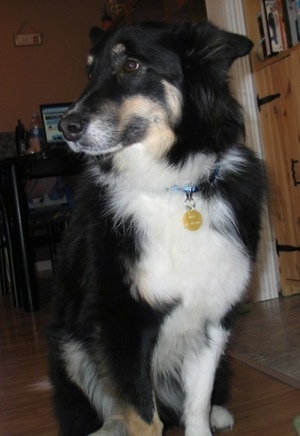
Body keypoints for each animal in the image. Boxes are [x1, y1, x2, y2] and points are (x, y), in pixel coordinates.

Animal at [48, 21, 266, 436]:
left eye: (131, 65)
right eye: (89, 71)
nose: (66, 127)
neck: (172, 187)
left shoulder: (213, 316)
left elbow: (196, 404)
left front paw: (204, 421)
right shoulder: (119, 322)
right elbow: (143, 417)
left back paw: (220, 413)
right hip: (70, 346)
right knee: (103, 411)